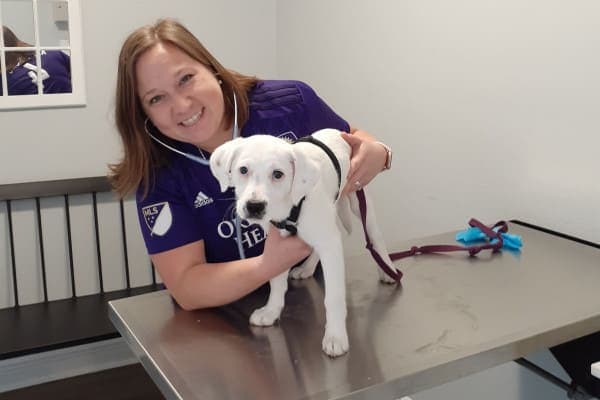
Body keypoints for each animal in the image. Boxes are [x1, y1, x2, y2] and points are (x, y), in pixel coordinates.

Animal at [209, 127, 396, 356]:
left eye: (278, 174)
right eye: (243, 170)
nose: (254, 206)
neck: (289, 208)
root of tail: (337, 131)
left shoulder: (330, 245)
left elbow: (333, 297)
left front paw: (335, 336)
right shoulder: (279, 244)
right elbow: (276, 280)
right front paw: (271, 310)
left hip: (358, 199)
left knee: (375, 236)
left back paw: (387, 269)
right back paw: (306, 268)